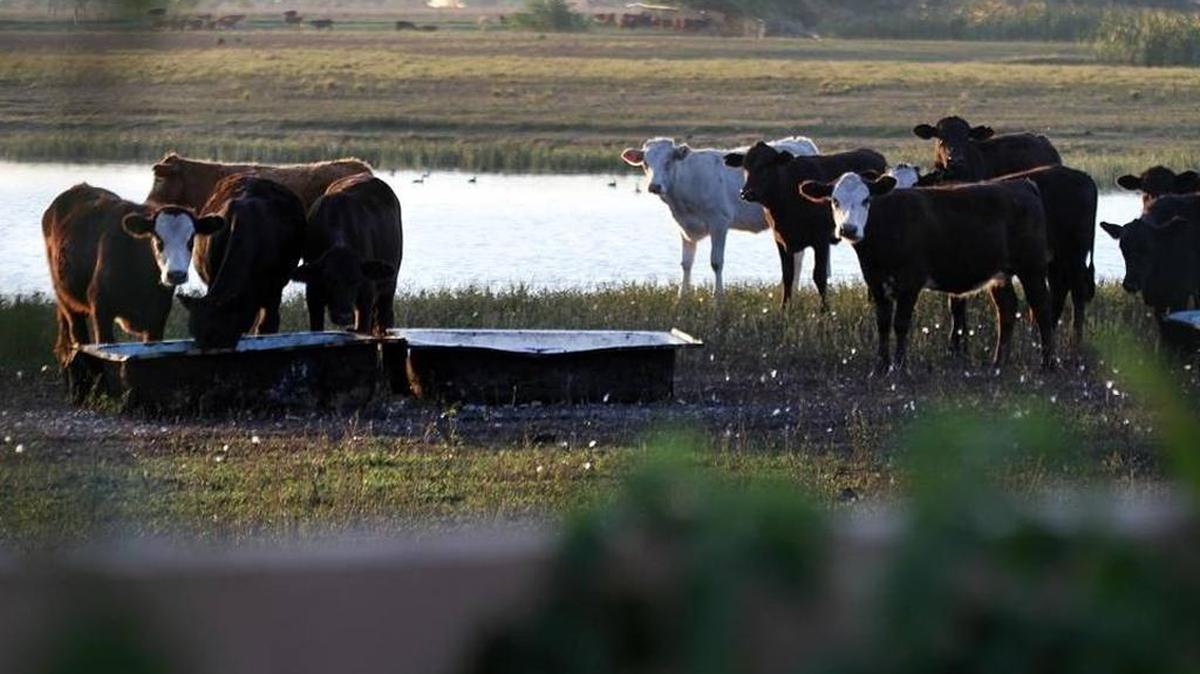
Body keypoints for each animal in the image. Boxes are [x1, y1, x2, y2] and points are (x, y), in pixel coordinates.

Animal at [42, 184, 221, 364]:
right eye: (158, 240)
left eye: (191, 240)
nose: (176, 274)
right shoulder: (100, 309)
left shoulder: (157, 318)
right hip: (66, 300)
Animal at [291, 173, 403, 334]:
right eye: (328, 280)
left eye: (356, 280)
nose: (343, 317)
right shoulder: (313, 294)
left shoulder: (366, 296)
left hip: (389, 285)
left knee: (384, 317)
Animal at [621, 136, 819, 297]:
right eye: (646, 163)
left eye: (669, 161)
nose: (654, 186)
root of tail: (801, 142)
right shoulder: (684, 227)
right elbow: (686, 263)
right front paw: (682, 297)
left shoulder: (719, 222)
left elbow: (716, 262)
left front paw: (718, 298)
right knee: (797, 255)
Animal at [724, 143, 887, 309]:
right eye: (745, 167)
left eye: (766, 165)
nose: (746, 192)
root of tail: (873, 153)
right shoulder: (780, 239)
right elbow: (787, 275)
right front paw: (784, 308)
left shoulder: (821, 239)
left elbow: (819, 276)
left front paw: (825, 309)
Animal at [799, 173, 1055, 372]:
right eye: (835, 200)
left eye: (866, 199)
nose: (848, 229)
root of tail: (1022, 185)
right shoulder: (875, 280)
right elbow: (882, 323)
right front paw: (880, 366)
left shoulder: (910, 281)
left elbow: (901, 323)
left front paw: (899, 366)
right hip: (1000, 274)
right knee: (1007, 310)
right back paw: (998, 363)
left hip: (1031, 268)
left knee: (1042, 308)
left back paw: (1047, 364)